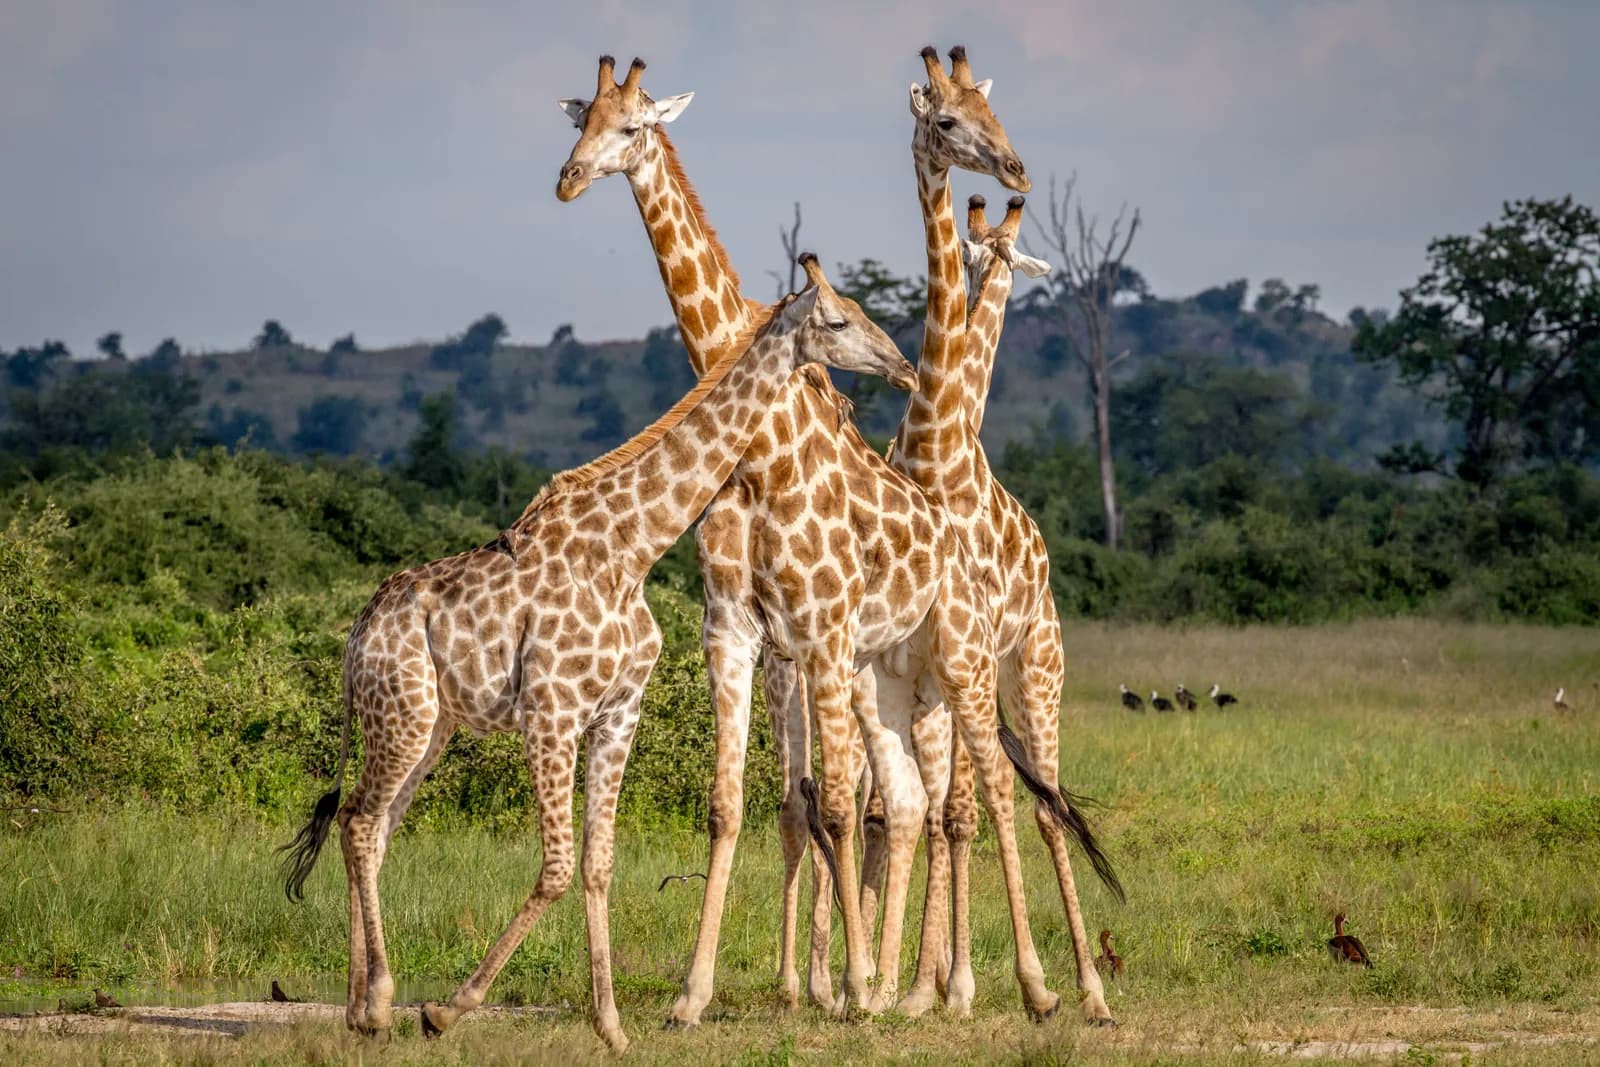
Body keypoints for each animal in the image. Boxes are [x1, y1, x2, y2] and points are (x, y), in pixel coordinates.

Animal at [276, 260, 916, 1053]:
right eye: (836, 319)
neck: (629, 551)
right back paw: (385, 1000)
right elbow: (555, 867)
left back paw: (361, 1007)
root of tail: (357, 632)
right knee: (363, 823)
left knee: (371, 825)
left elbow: (598, 864)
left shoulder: (617, 713)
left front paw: (610, 1024)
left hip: (428, 726)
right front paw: (448, 1009)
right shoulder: (551, 710)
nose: (901, 365)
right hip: (402, 715)